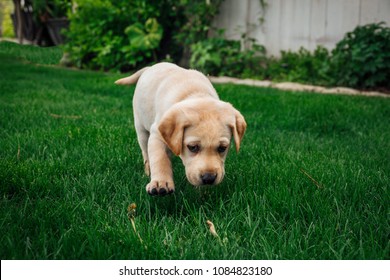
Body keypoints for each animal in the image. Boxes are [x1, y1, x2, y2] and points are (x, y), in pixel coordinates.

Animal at [114, 62, 245, 196]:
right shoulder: (157, 134)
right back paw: (148, 171)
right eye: (192, 147)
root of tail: (150, 67)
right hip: (141, 128)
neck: (196, 94)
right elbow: (160, 158)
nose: (209, 178)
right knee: (146, 153)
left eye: (222, 148)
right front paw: (161, 183)